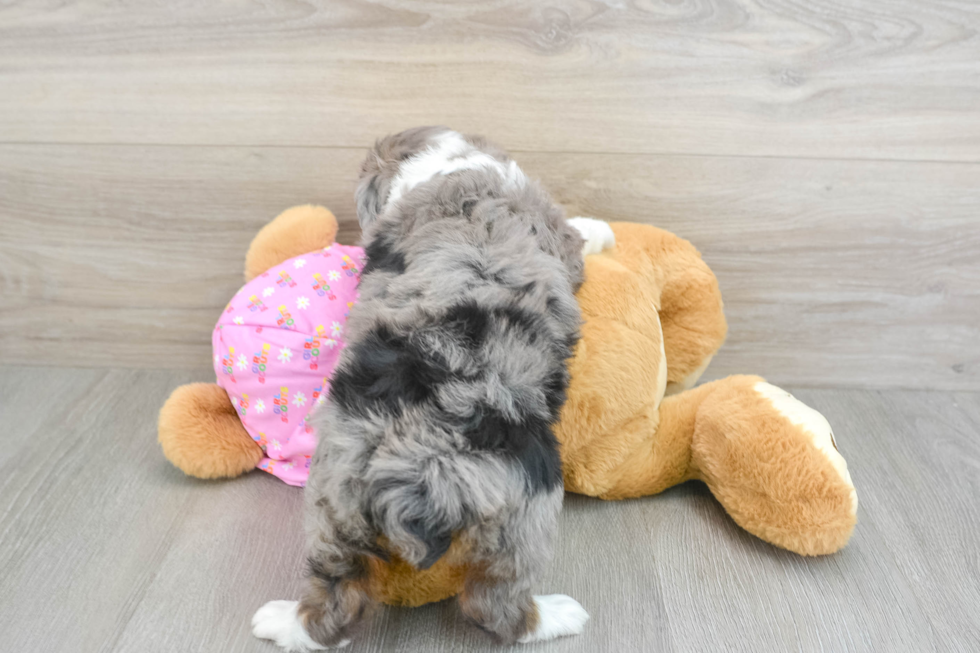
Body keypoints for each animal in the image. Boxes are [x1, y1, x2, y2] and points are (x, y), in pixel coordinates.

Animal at [256, 126, 616, 648]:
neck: (446, 165)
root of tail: (422, 467)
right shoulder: (557, 234)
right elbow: (579, 232)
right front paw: (603, 228)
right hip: (526, 512)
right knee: (495, 604)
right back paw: (558, 616)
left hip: (334, 509)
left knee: (333, 600)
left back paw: (281, 622)